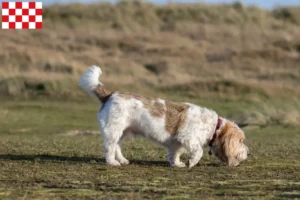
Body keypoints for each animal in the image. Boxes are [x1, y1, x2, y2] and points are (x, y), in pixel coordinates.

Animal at [78, 65, 250, 167]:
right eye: (241, 141)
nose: (249, 153)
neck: (214, 127)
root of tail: (109, 95)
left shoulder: (177, 143)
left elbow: (175, 153)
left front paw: (177, 164)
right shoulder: (188, 138)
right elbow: (198, 152)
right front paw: (192, 162)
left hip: (122, 132)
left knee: (117, 147)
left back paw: (122, 160)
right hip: (113, 130)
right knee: (109, 147)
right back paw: (112, 162)